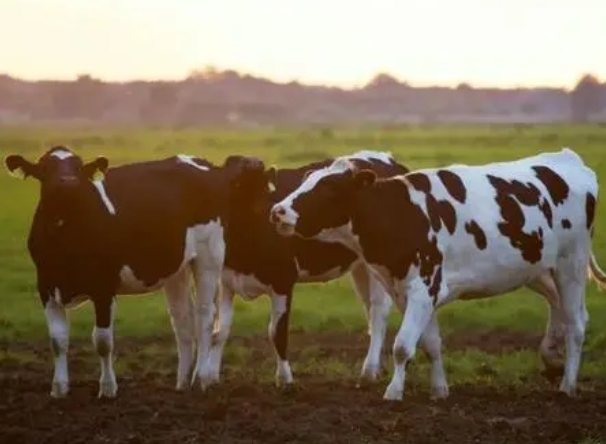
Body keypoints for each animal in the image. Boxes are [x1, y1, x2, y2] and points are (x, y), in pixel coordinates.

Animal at [4, 146, 262, 398]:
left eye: (77, 168)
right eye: (46, 168)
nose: (68, 182)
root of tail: (204, 163)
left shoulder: (104, 287)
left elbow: (103, 341)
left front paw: (108, 388)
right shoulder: (46, 286)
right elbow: (57, 340)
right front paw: (59, 388)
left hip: (209, 256)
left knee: (205, 317)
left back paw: (202, 379)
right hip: (176, 268)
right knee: (183, 320)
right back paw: (182, 383)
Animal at [203, 150, 408, 386]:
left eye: (262, 186)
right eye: (233, 175)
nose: (255, 162)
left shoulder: (283, 281)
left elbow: (277, 332)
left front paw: (285, 379)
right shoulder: (227, 282)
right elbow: (220, 331)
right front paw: (210, 377)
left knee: (378, 311)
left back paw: (370, 369)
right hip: (361, 267)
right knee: (369, 311)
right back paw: (379, 366)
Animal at [270, 147, 606, 400]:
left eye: (328, 187)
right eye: (306, 181)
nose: (277, 211)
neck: (401, 213)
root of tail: (568, 158)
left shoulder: (423, 287)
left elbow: (403, 345)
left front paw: (394, 392)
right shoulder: (412, 292)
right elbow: (430, 344)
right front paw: (439, 389)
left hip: (571, 263)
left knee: (576, 323)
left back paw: (567, 385)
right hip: (538, 268)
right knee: (562, 307)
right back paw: (552, 359)